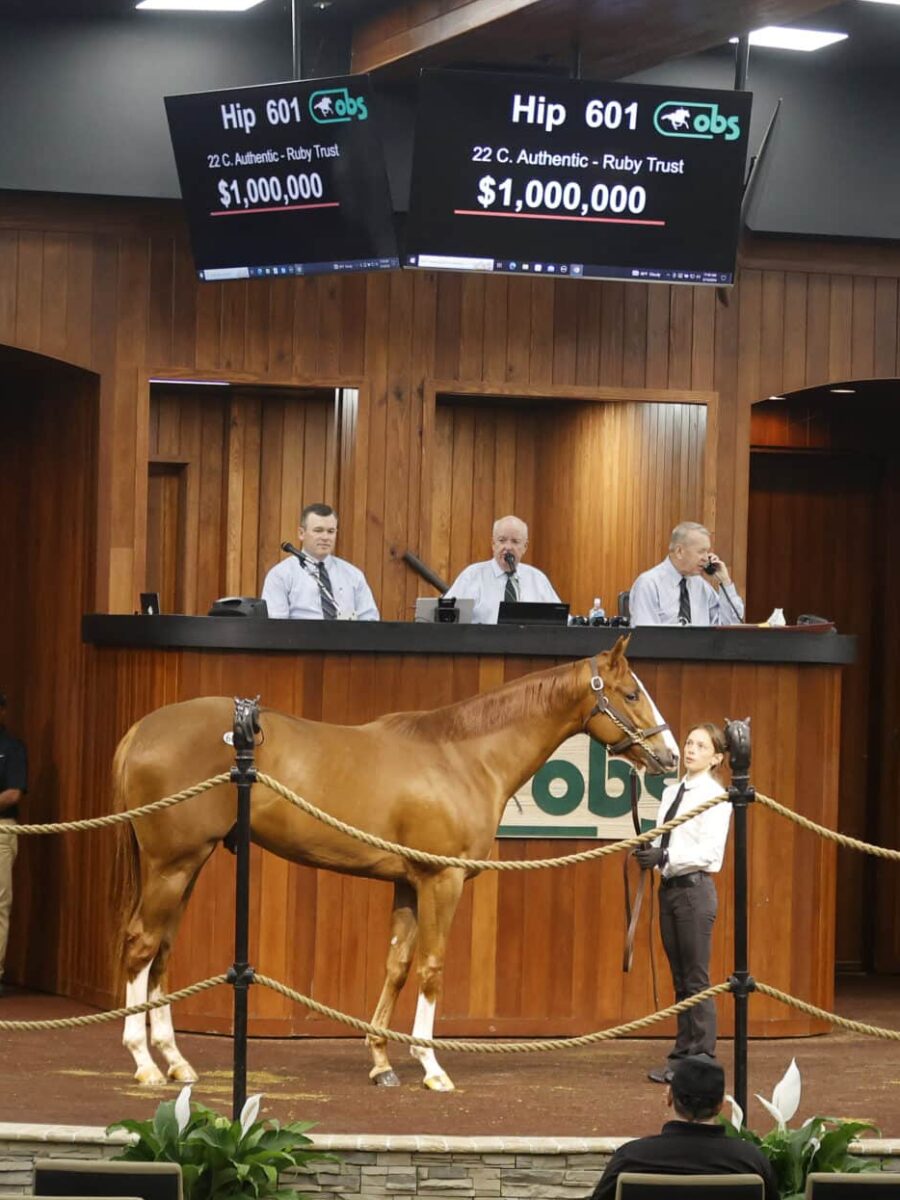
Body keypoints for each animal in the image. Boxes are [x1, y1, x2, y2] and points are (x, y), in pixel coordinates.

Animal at [114, 643, 676, 1094]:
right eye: (630, 693)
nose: (669, 756)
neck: (463, 757)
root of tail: (141, 730)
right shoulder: (441, 881)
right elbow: (431, 967)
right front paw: (430, 1066)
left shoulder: (408, 884)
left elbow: (397, 966)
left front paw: (381, 1061)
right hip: (172, 864)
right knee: (141, 943)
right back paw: (144, 1063)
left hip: (188, 864)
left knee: (163, 950)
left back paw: (176, 1061)